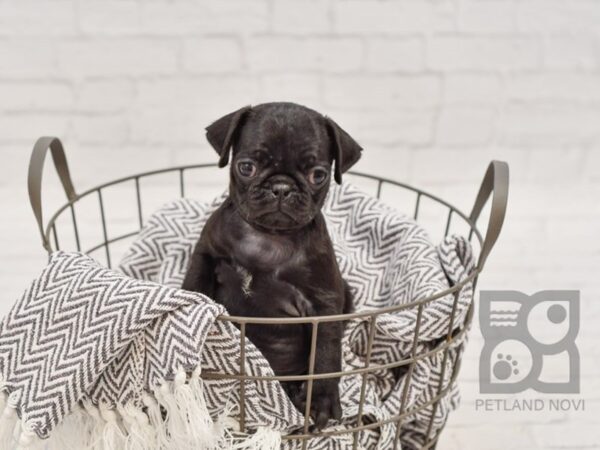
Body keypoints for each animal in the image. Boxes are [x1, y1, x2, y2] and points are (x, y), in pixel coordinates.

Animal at [183, 102, 360, 428]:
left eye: (318, 175)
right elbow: (194, 285)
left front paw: (322, 399)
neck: (268, 238)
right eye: (246, 167)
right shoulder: (206, 254)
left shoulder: (324, 304)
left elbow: (326, 353)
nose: (281, 187)